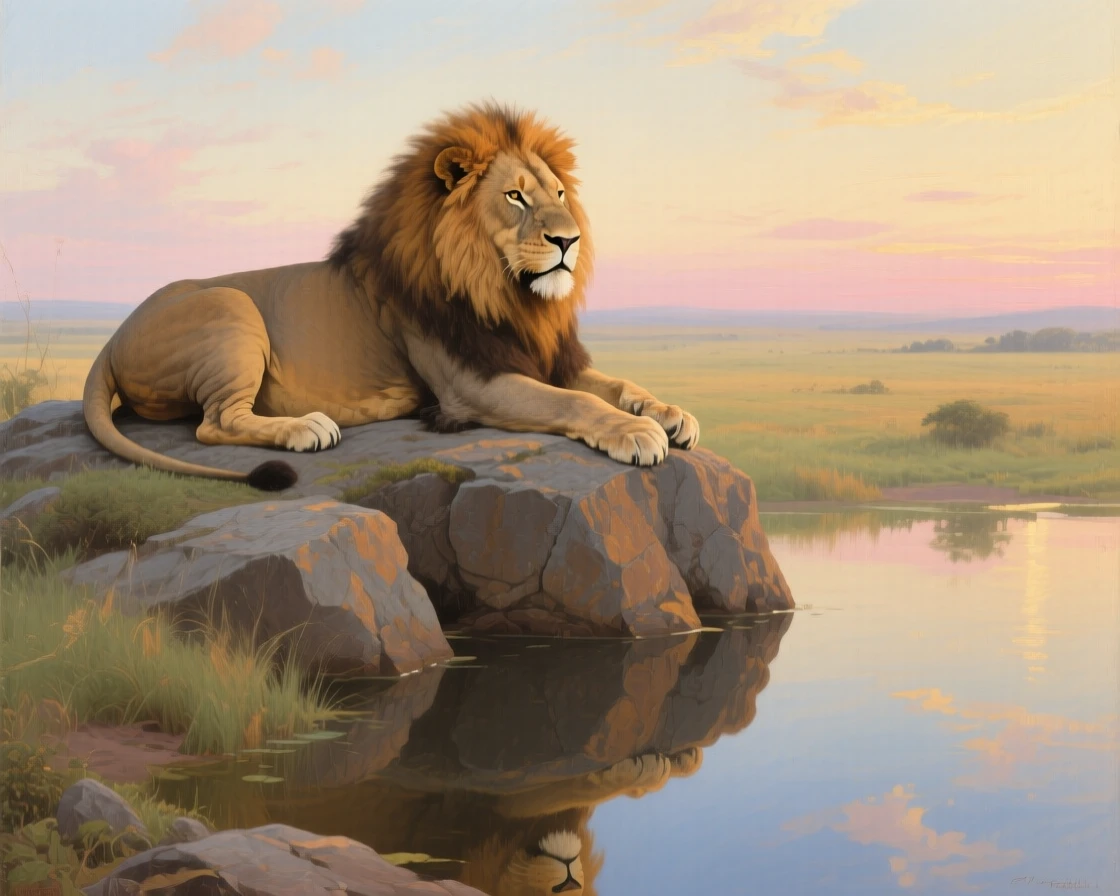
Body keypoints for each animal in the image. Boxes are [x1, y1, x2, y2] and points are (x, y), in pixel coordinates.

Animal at [82, 102, 699, 490]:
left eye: (560, 194)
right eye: (515, 197)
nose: (569, 240)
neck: (505, 293)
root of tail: (109, 341)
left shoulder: (537, 354)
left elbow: (616, 385)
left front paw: (668, 413)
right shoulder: (469, 384)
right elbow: (574, 402)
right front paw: (635, 432)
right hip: (230, 307)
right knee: (214, 424)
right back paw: (306, 428)